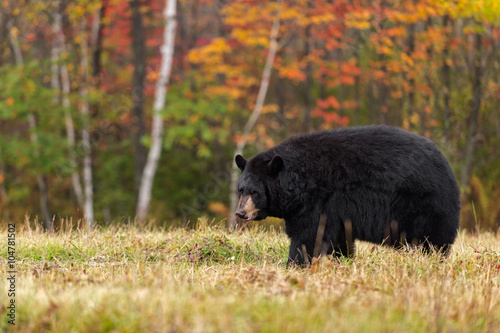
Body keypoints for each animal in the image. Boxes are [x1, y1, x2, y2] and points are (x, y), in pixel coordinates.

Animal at [234, 124, 460, 264]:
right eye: (241, 190)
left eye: (255, 192)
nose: (240, 213)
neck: (300, 182)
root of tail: (446, 165)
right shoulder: (336, 211)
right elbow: (337, 240)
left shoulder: (319, 202)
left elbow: (309, 235)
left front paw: (295, 264)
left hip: (422, 204)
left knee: (432, 240)